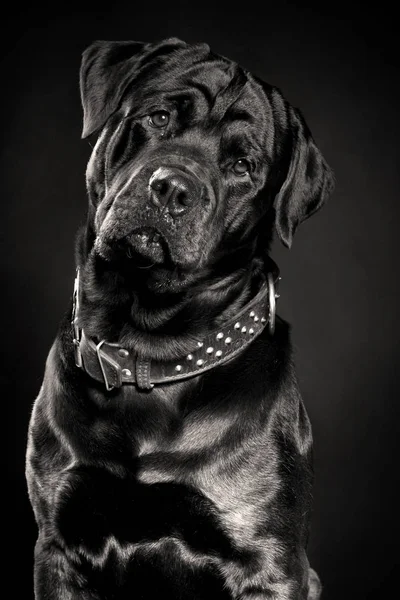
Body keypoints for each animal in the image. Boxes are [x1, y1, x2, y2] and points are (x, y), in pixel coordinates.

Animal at [25, 38, 334, 600]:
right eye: (160, 117)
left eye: (242, 165)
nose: (171, 188)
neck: (147, 353)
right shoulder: (57, 543)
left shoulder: (271, 563)